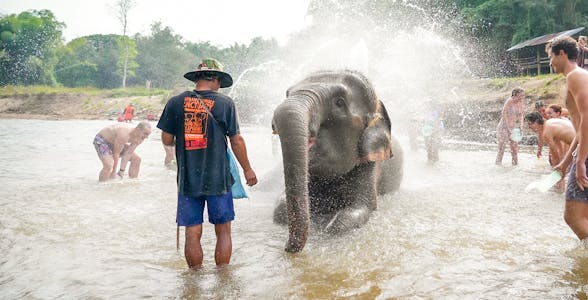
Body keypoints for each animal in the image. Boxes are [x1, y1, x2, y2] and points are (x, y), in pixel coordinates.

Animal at [272, 69, 404, 252]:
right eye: (287, 93)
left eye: (339, 102)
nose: (286, 247)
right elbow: (279, 208)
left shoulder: (370, 164)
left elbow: (361, 208)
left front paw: (329, 227)